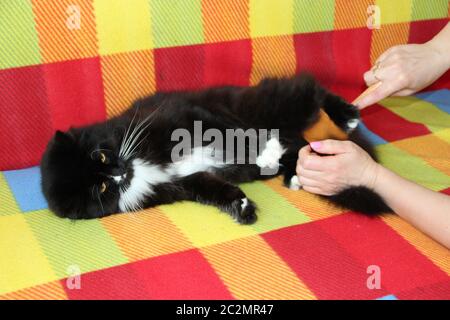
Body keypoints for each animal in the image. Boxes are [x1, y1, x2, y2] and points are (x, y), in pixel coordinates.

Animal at [40, 74, 390, 224]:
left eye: (99, 155)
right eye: (100, 188)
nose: (119, 171)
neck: (140, 165)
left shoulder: (188, 118)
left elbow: (232, 134)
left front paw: (263, 150)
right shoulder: (182, 184)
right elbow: (212, 187)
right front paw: (243, 207)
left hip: (269, 105)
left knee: (308, 90)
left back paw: (347, 114)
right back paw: (293, 173)